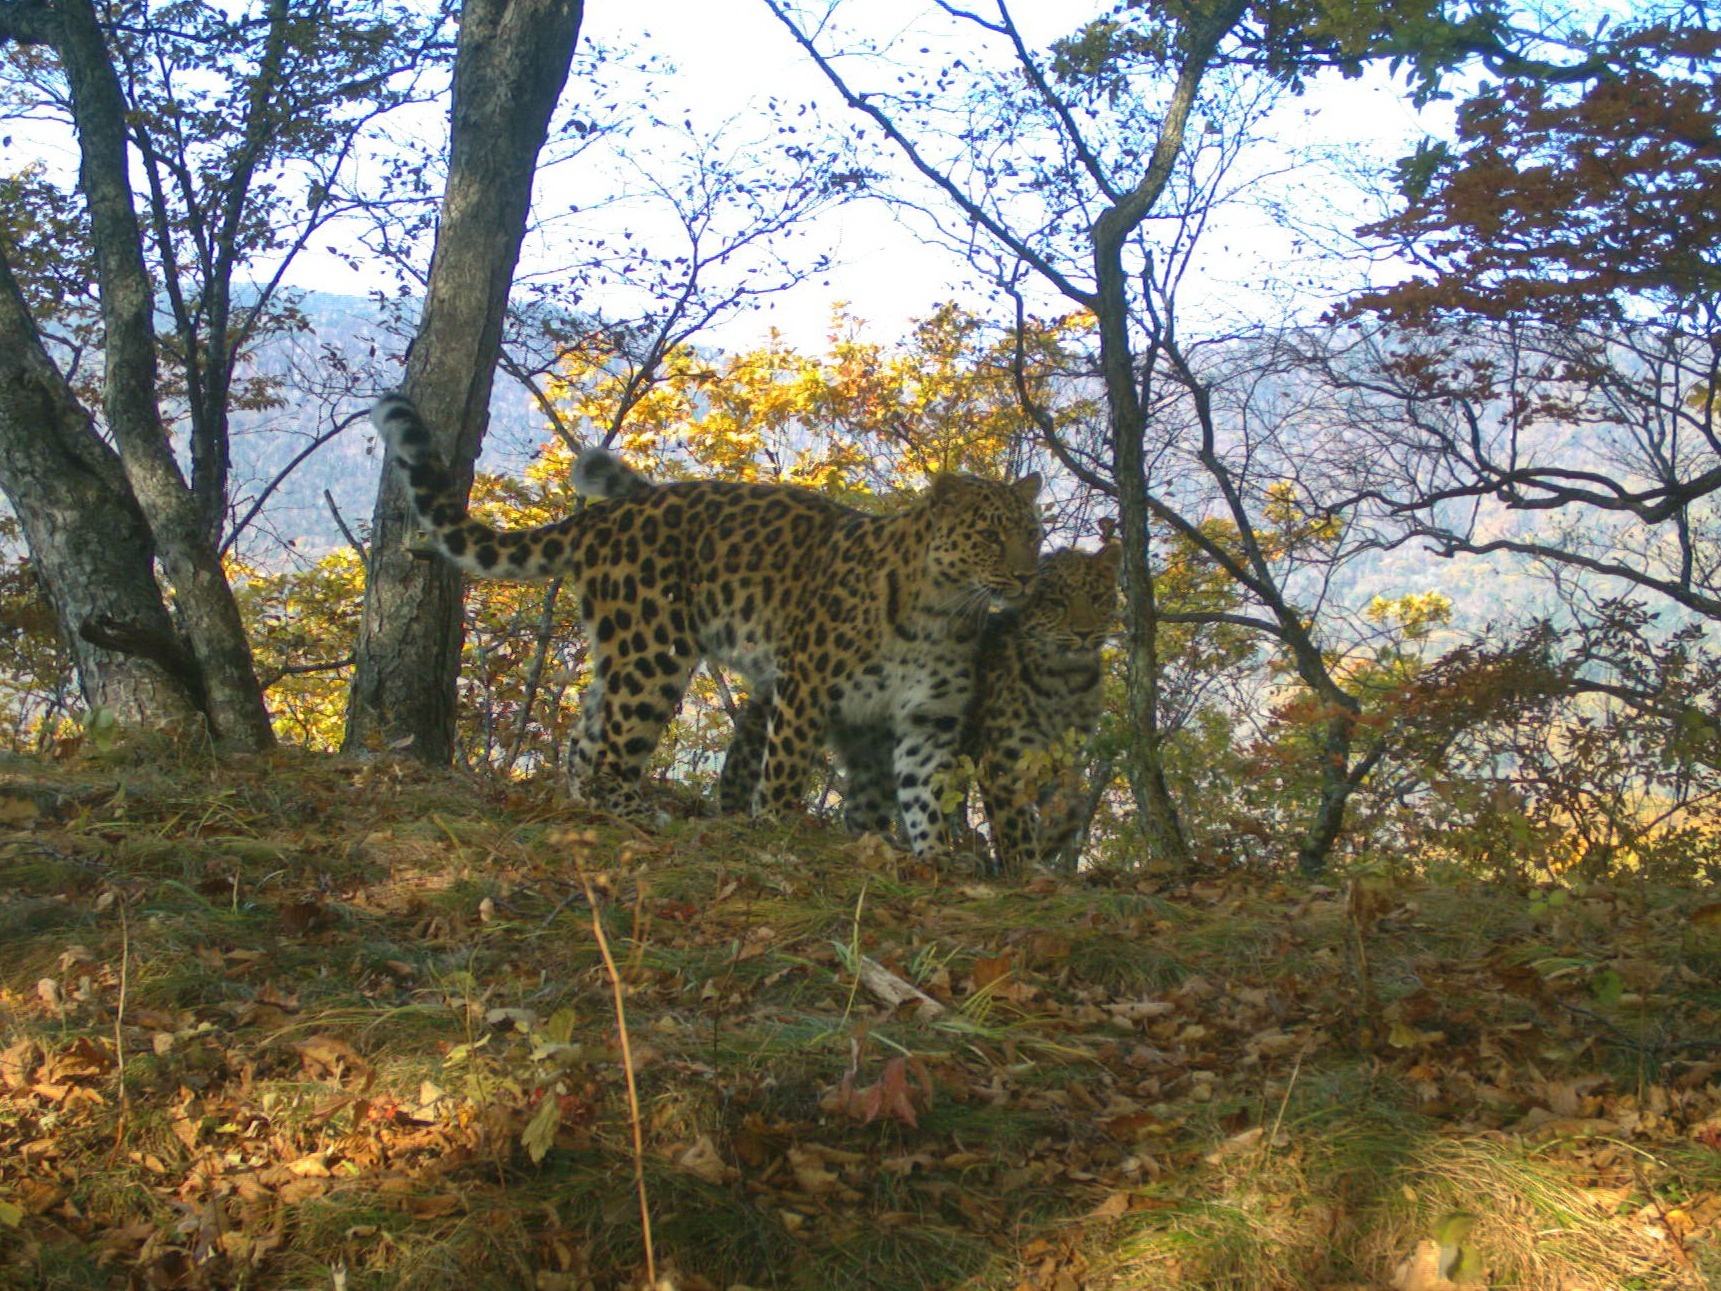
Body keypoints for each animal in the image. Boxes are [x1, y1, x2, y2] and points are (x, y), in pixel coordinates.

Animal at [375, 392, 1039, 840]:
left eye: (1032, 533)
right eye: (988, 536)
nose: (1029, 576)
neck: (941, 610)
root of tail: (606, 513)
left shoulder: (928, 717)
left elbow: (925, 795)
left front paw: (929, 859)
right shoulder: (805, 682)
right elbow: (786, 764)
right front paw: (775, 826)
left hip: (620, 646)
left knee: (586, 739)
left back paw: (584, 806)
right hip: (653, 649)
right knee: (612, 748)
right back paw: (643, 816)